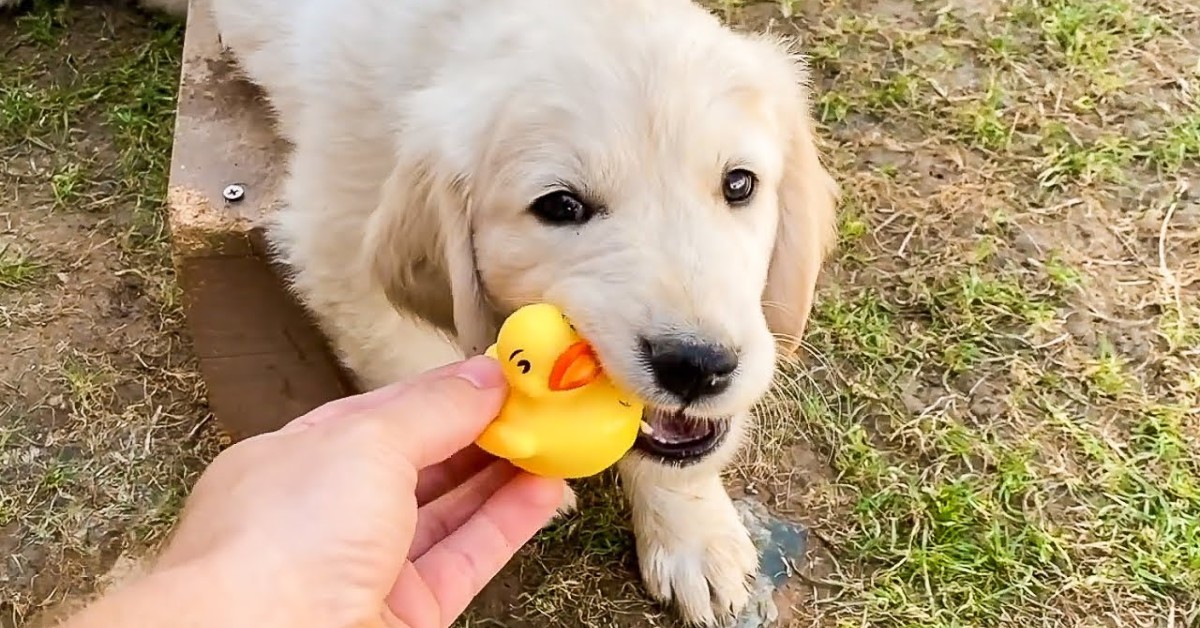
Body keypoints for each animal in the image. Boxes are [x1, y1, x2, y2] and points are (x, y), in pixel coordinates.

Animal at [211, 0, 840, 619]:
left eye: (739, 184)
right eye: (561, 206)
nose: (697, 365)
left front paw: (696, 534)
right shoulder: (338, 248)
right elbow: (411, 360)